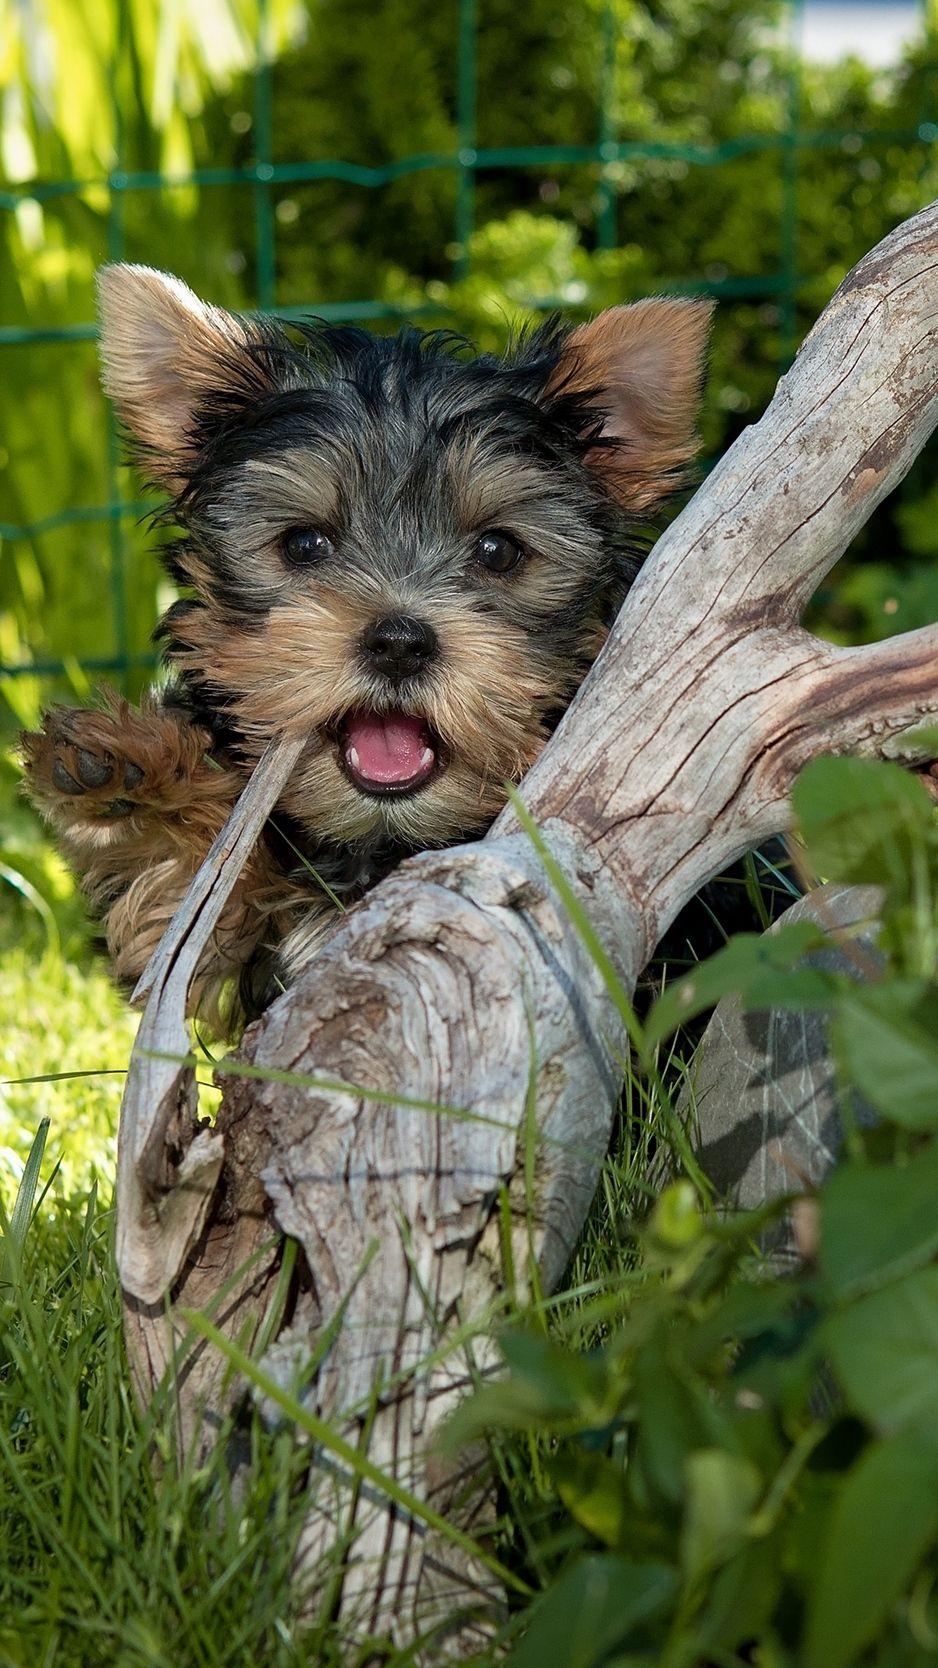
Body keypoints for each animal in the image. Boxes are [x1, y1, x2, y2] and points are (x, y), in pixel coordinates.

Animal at [21, 266, 707, 1034]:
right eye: (303, 543)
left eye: (498, 551)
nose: (399, 642)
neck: (382, 841)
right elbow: (186, 916)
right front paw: (130, 775)